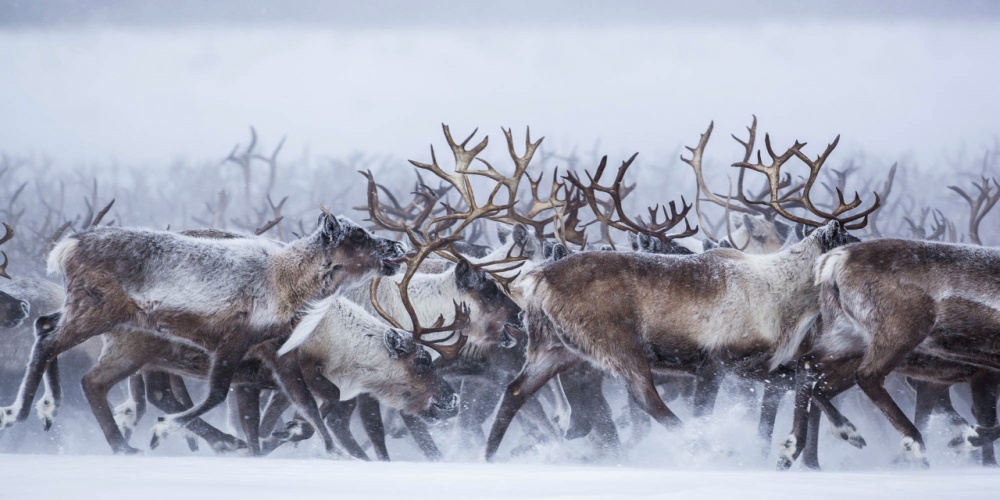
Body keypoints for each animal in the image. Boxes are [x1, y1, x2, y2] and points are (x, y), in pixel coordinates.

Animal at [0, 211, 405, 457]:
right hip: (96, 312)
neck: (287, 281)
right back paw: (22, 412)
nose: (398, 246)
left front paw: (331, 450)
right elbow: (216, 394)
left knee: (53, 338)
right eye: (358, 236)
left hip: (96, 319)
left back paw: (99, 434)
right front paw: (165, 430)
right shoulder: (233, 341)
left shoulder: (275, 350)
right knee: (50, 345)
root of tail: (66, 248)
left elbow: (305, 401)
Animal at [484, 123, 881, 461]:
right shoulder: (715, 363)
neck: (785, 300)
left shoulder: (754, 364)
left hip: (554, 348)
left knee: (515, 392)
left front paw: (847, 433)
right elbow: (715, 407)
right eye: (851, 240)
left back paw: (488, 457)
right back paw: (708, 450)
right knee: (647, 400)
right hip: (618, 346)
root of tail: (537, 278)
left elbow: (803, 378)